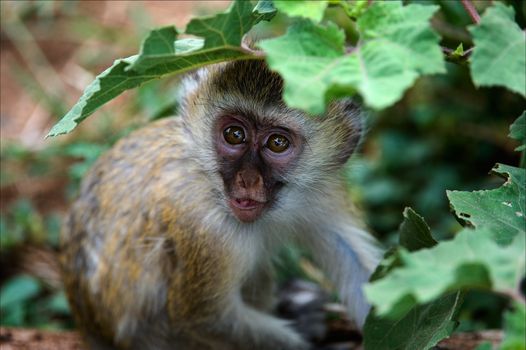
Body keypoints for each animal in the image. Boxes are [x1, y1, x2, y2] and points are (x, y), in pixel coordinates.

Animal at [60, 60, 384, 350]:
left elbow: (361, 271)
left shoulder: (322, 194)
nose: (248, 179)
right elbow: (204, 319)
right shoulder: (203, 227)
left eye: (277, 142)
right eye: (234, 135)